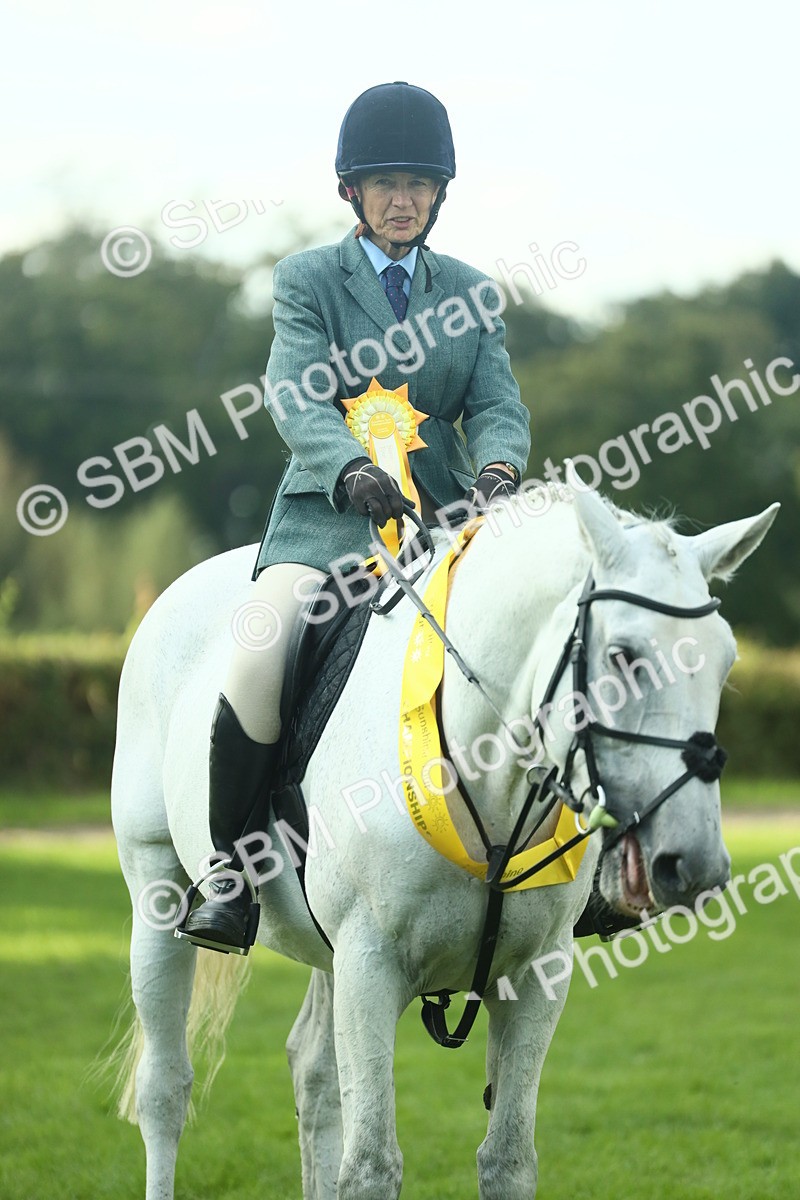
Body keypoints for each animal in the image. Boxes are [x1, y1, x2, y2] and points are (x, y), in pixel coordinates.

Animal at [110, 467, 778, 1199]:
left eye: (725, 664)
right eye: (624, 657)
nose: (696, 867)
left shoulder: (537, 978)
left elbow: (508, 1159)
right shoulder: (370, 966)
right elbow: (371, 1166)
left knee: (312, 1073)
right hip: (158, 894)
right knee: (166, 1089)